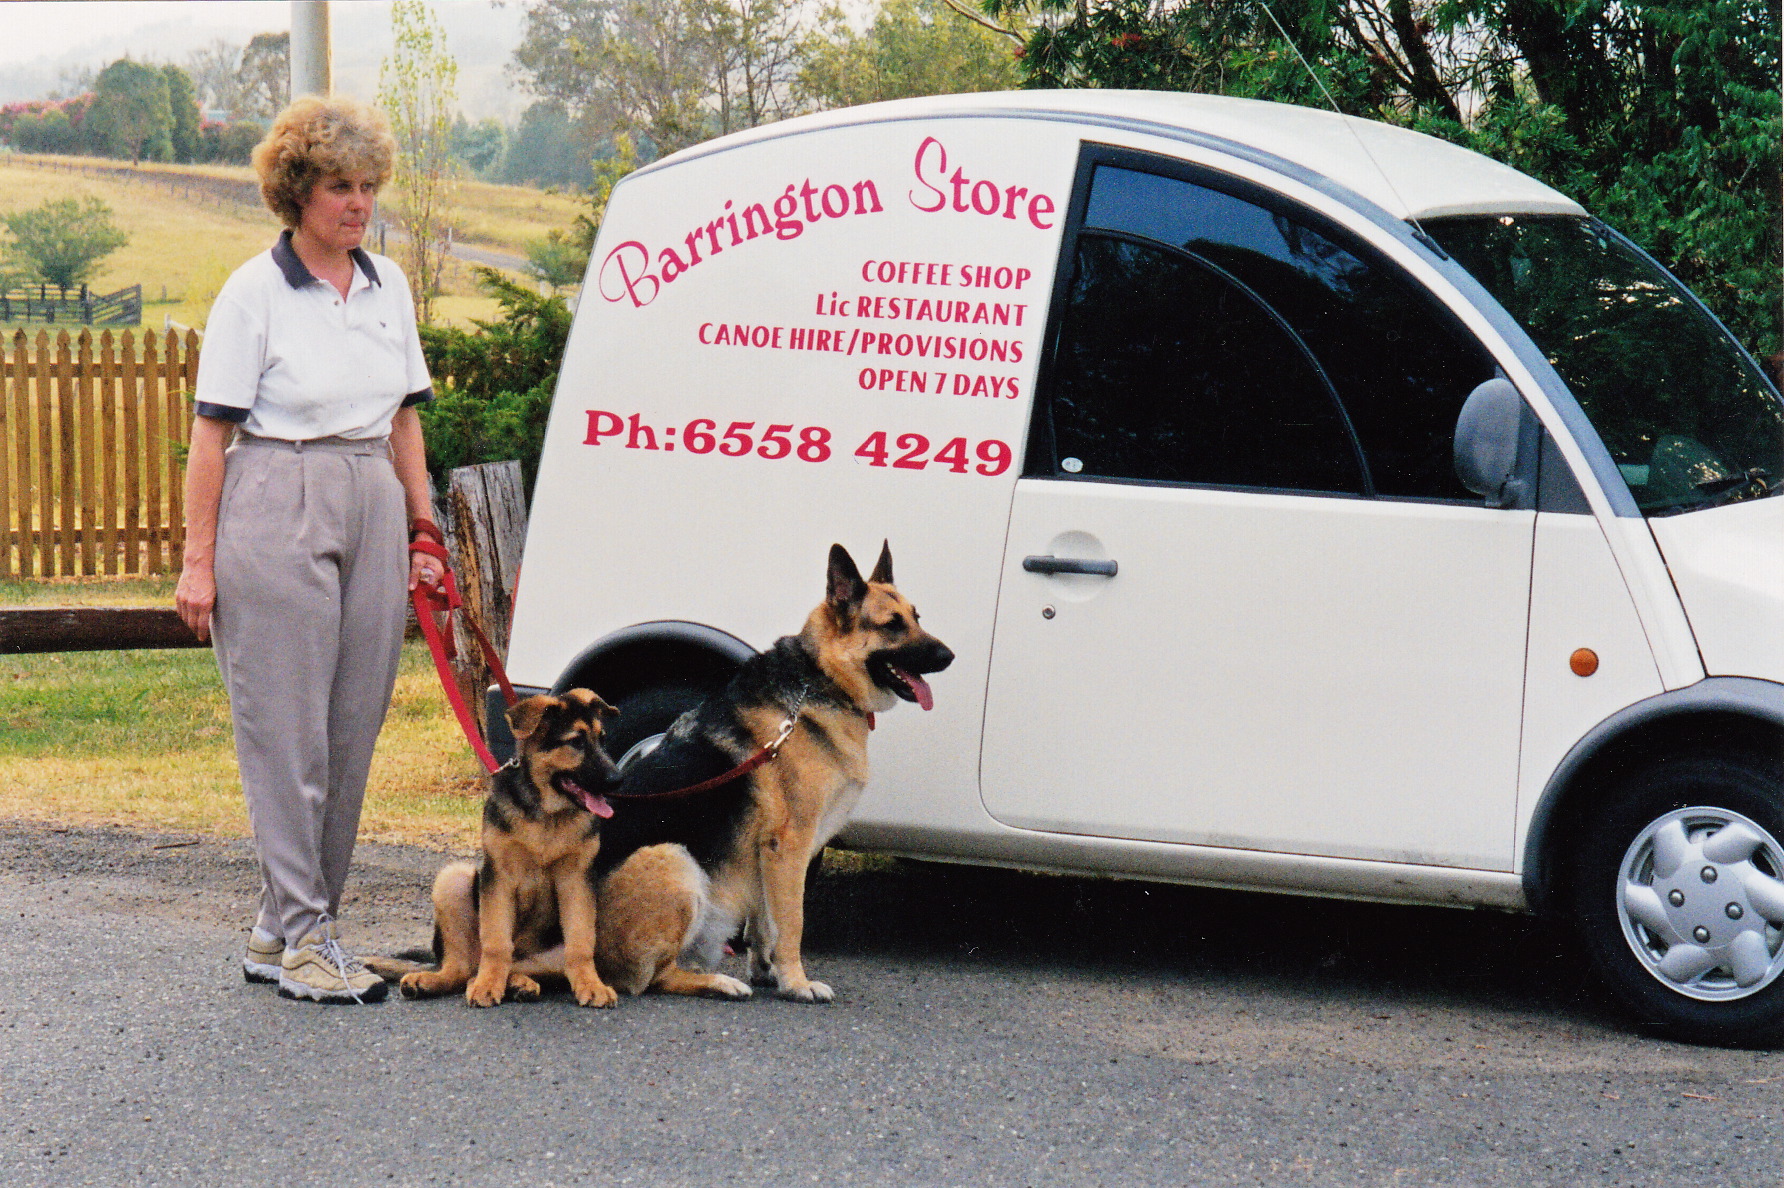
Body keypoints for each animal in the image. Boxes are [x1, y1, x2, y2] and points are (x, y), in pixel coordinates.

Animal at [367, 689, 623, 1008]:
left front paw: (591, 984)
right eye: (576, 741)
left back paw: (520, 984)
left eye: (603, 739)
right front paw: (488, 985)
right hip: (453, 879)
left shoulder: (577, 880)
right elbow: (496, 940)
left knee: (512, 966)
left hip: (549, 955)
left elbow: (581, 942)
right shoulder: (498, 876)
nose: (618, 779)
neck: (546, 814)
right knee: (462, 968)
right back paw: (434, 981)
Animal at [591, 541, 954, 1003]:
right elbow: (793, 922)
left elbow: (766, 921)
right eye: (892, 625)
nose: (949, 656)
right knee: (654, 979)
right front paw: (797, 982)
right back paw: (719, 982)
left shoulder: (770, 854)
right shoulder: (791, 844)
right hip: (673, 859)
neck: (820, 678)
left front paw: (768, 971)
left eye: (916, 617)